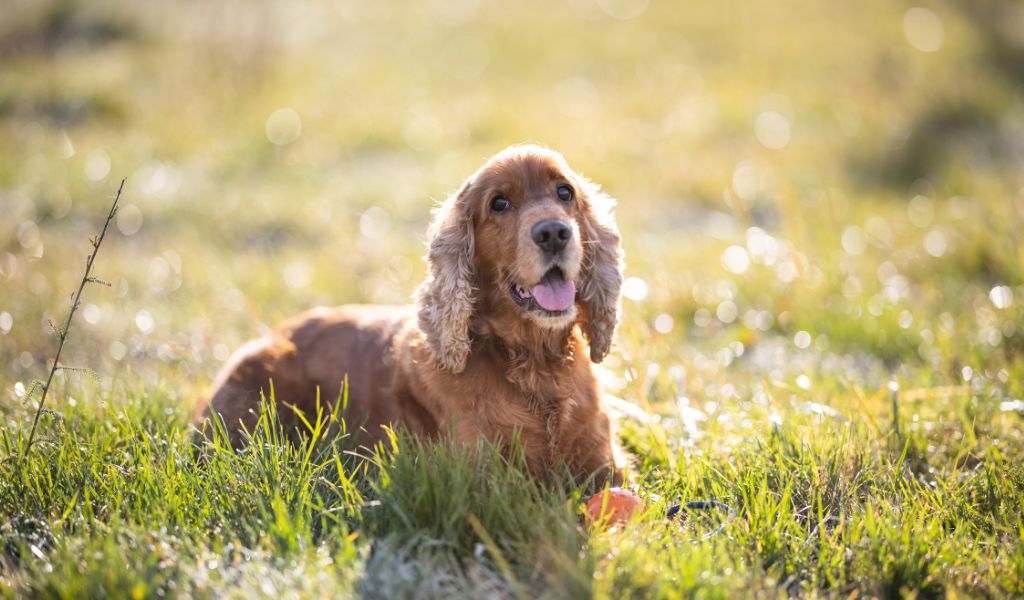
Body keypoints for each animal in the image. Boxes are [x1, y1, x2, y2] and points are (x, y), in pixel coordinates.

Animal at [192, 144, 622, 485]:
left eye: (565, 192)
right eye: (499, 203)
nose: (554, 233)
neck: (535, 363)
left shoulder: (606, 464)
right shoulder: (488, 477)